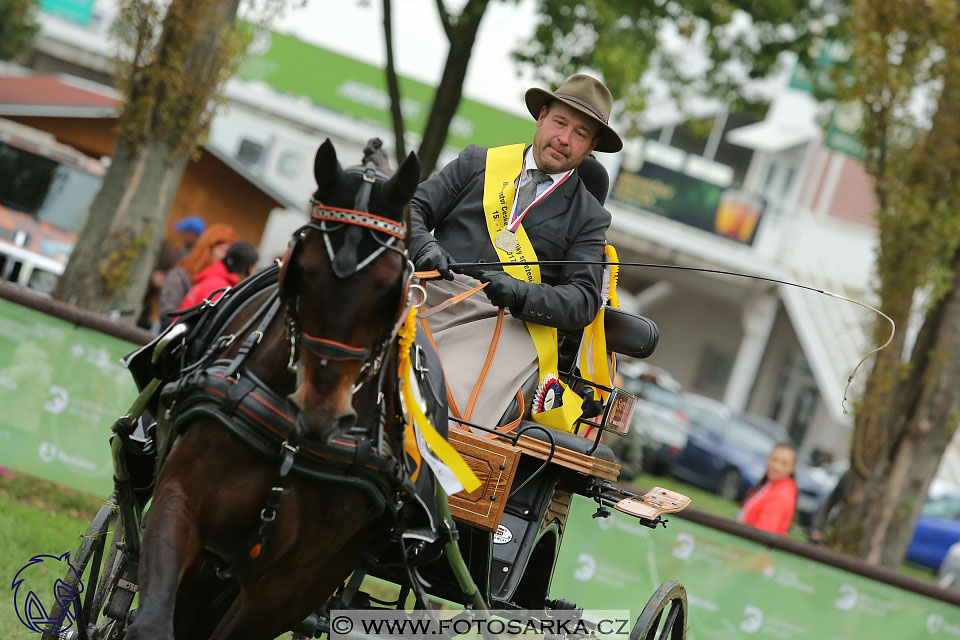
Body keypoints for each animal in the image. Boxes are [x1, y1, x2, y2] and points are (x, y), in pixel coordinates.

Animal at [127, 140, 424, 640]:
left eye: (390, 288)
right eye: (302, 269)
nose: (320, 411)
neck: (293, 444)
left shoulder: (288, 585)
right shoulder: (179, 501)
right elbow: (151, 624)